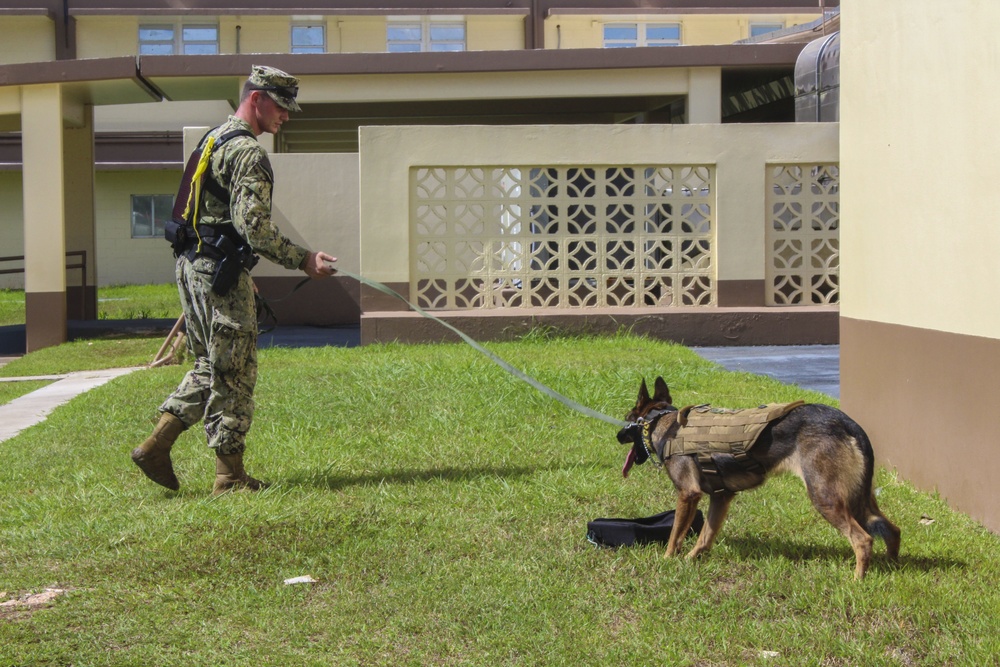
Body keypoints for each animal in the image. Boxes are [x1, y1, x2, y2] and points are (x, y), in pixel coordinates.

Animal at [612, 378, 904, 580]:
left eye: (628, 419)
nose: (616, 435)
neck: (665, 423)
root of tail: (849, 423)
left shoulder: (688, 494)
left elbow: (676, 535)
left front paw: (668, 560)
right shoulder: (721, 498)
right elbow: (705, 536)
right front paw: (692, 559)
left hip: (825, 497)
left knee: (862, 539)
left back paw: (856, 580)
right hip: (860, 499)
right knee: (892, 530)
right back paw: (891, 566)